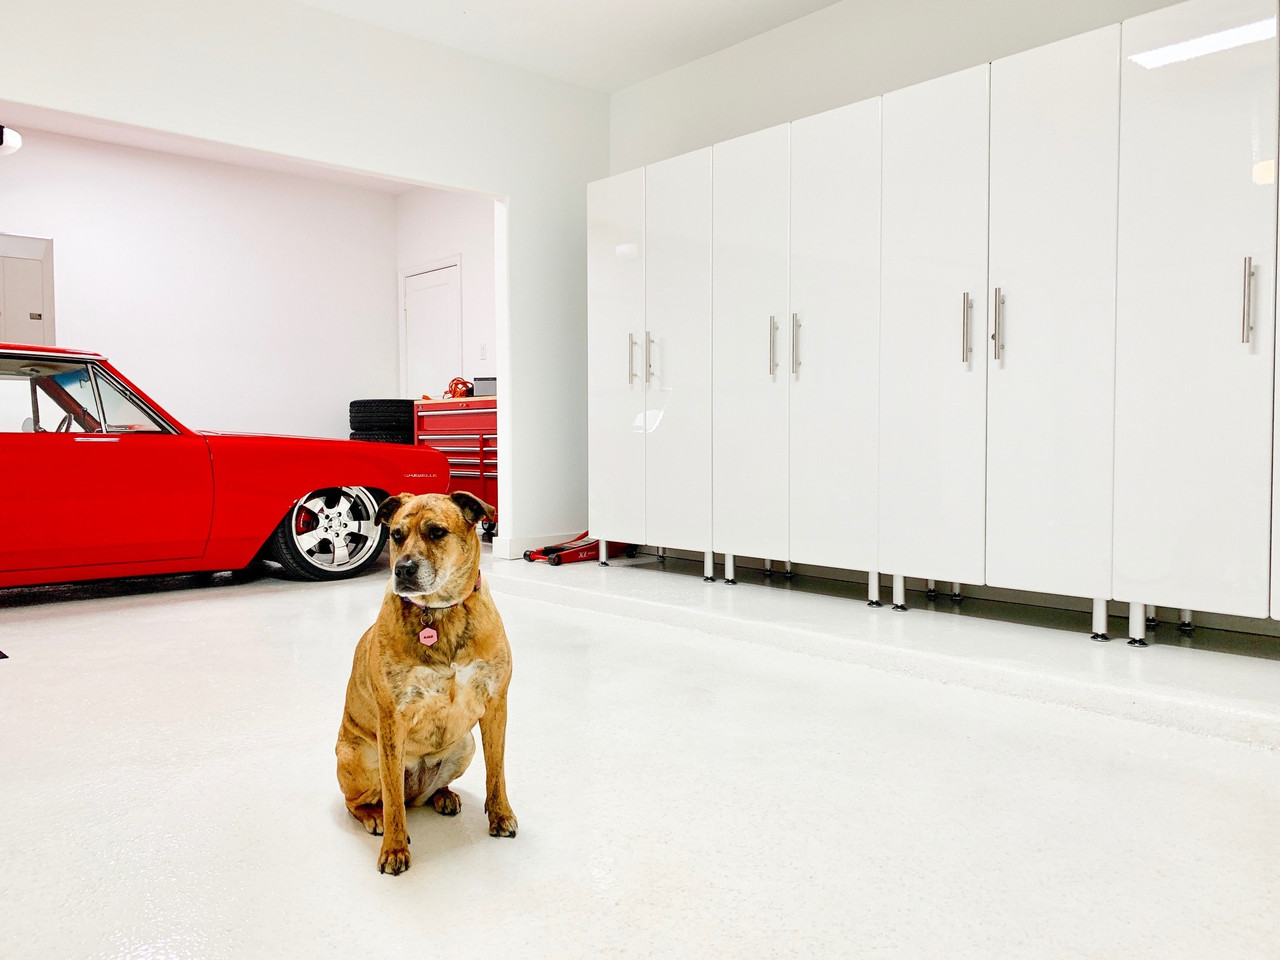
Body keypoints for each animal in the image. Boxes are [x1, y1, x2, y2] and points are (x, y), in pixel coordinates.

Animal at [340, 491, 519, 875]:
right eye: (396, 535)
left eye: (437, 532)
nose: (403, 569)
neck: (439, 612)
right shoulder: (392, 720)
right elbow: (392, 800)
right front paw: (394, 849)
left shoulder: (495, 705)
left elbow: (496, 771)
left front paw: (500, 815)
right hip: (361, 756)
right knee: (367, 801)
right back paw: (374, 816)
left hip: (465, 744)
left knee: (422, 794)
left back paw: (443, 795)